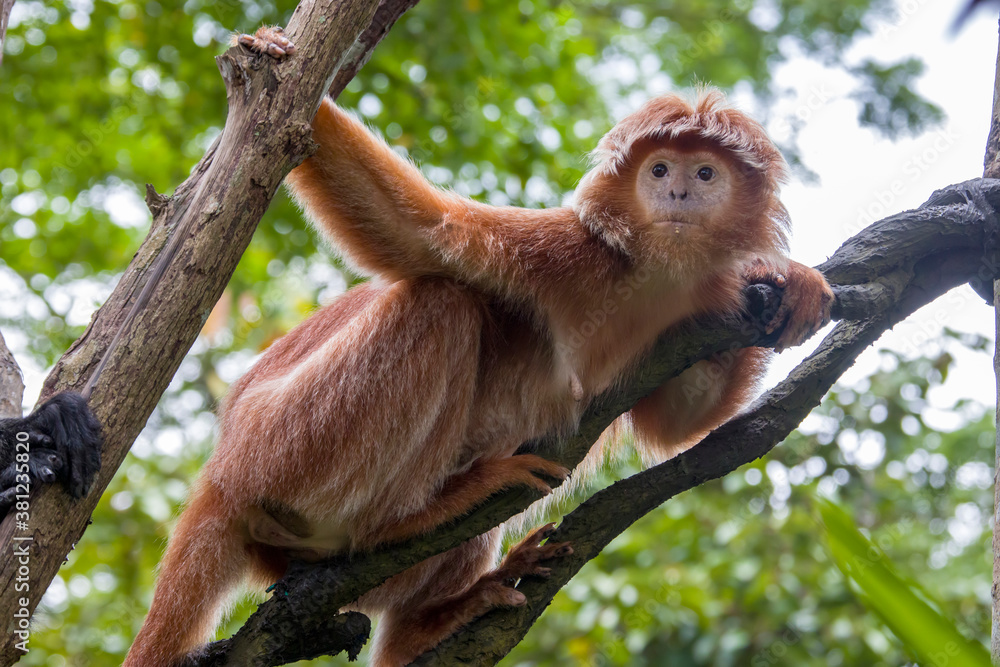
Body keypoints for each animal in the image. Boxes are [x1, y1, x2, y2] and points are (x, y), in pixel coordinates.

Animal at [124, 27, 833, 667]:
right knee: (443, 305)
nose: (679, 191)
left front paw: (786, 284)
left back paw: (429, 624)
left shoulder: (690, 313)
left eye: (704, 173)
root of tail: (219, 478)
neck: (649, 275)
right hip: (282, 443)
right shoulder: (566, 254)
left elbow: (679, 421)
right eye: (659, 169)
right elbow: (424, 231)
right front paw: (281, 63)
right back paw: (412, 518)